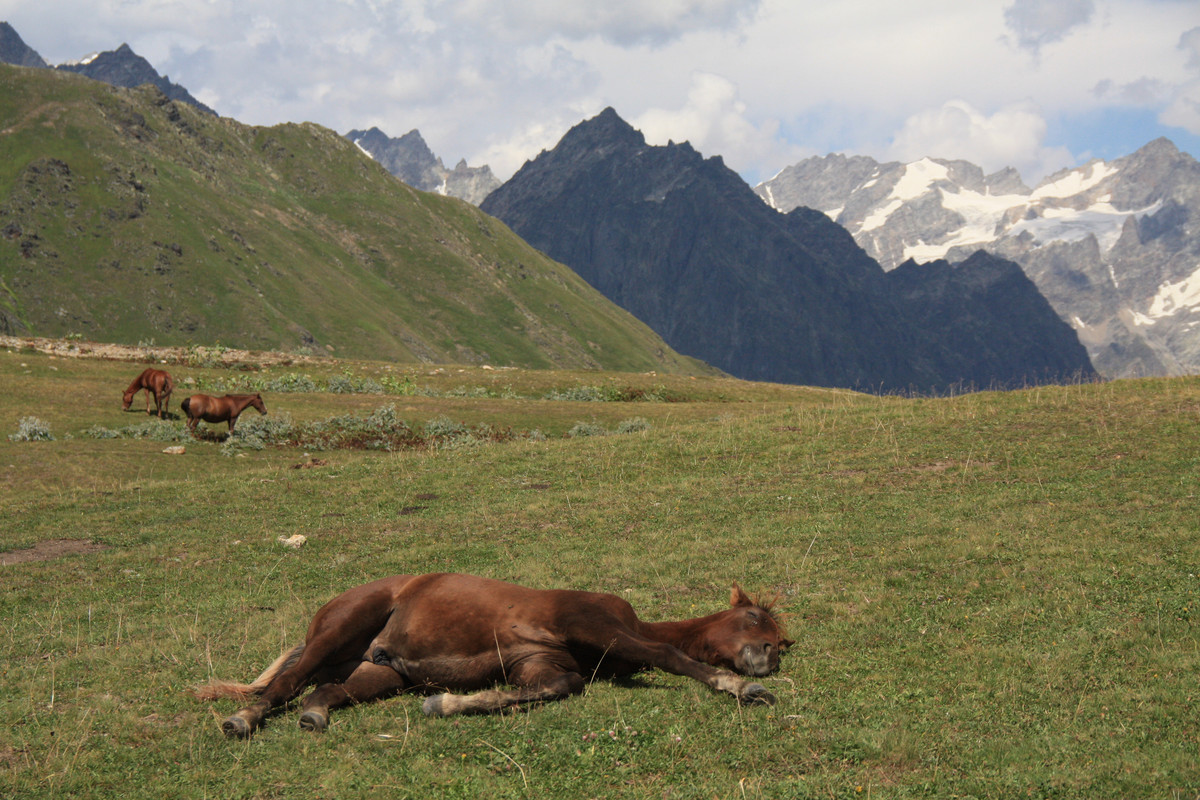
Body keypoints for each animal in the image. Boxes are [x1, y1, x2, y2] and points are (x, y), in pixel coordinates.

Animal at [200, 575, 792, 738]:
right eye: (754, 618)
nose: (770, 658)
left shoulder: (537, 665)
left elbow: (552, 689)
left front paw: (446, 704)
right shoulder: (597, 625)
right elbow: (670, 653)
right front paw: (742, 688)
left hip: (377, 673)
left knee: (322, 689)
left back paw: (315, 716)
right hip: (344, 627)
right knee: (287, 682)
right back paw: (241, 720)